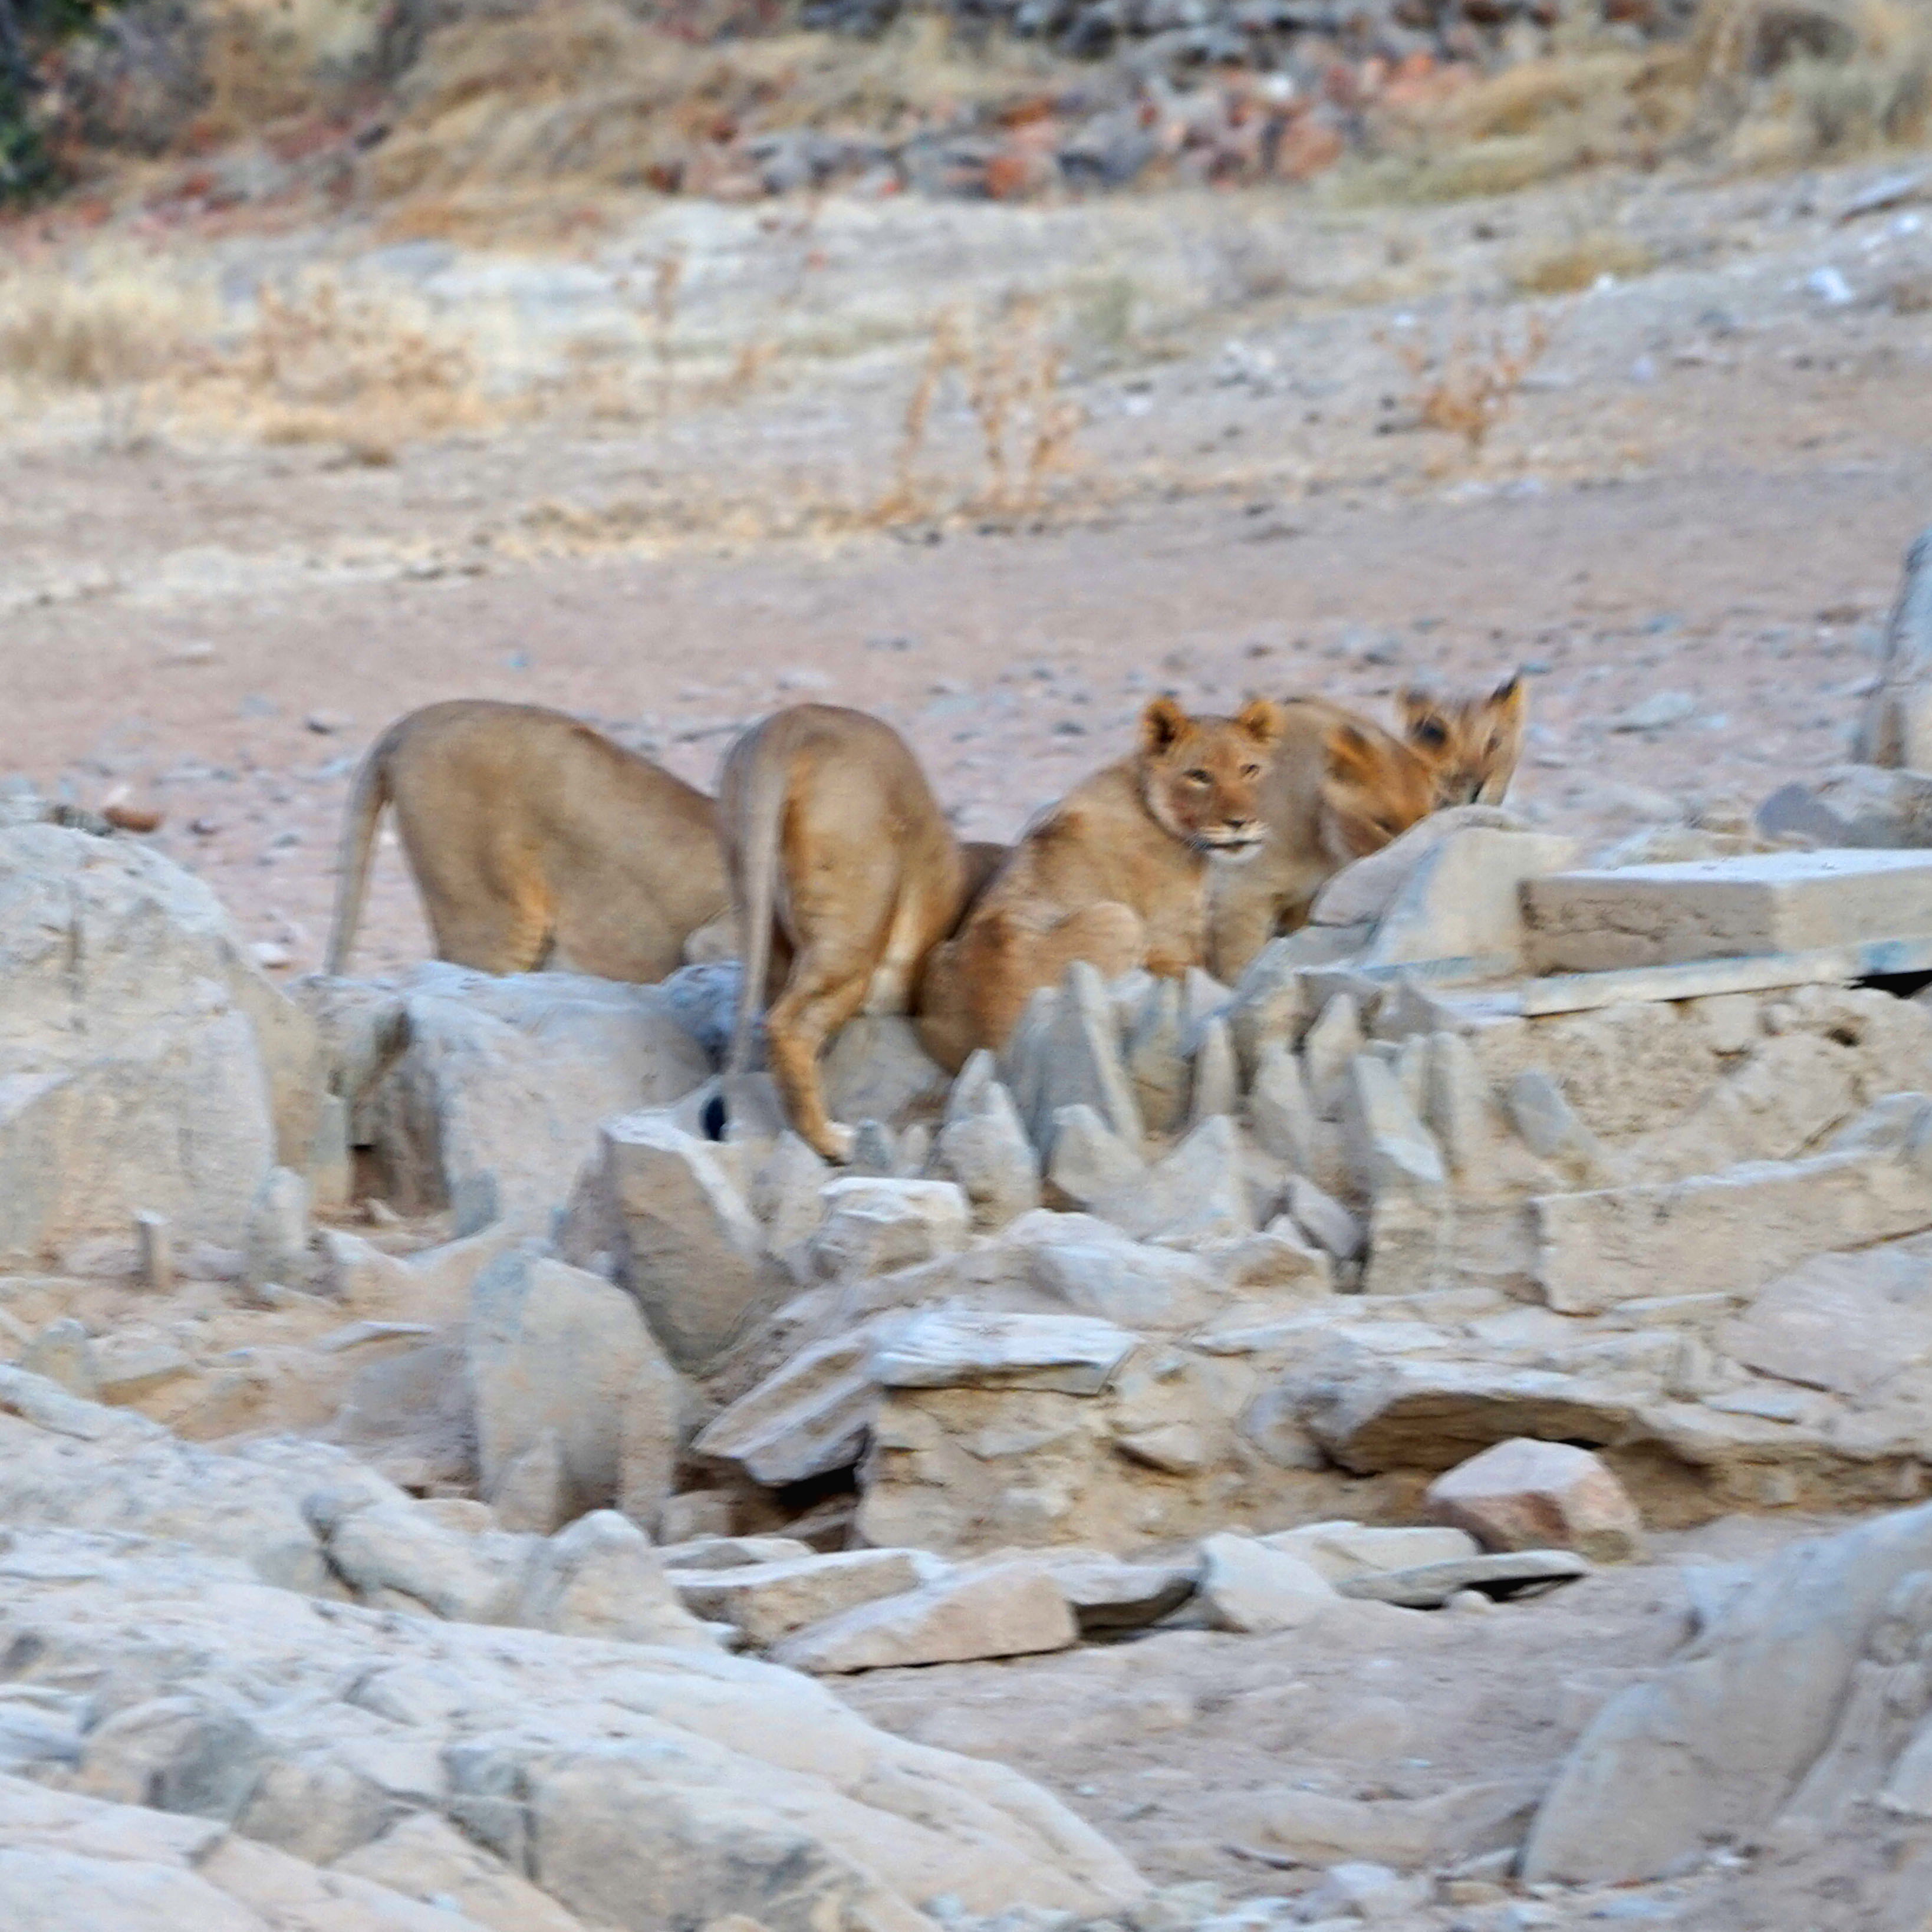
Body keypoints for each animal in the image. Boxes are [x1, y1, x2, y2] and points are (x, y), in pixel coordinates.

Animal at [916, 692, 1282, 1074]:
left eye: (1250, 769)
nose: (1240, 823)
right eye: (1199, 776)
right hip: (1117, 918)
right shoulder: (1172, 945)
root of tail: (989, 1049)